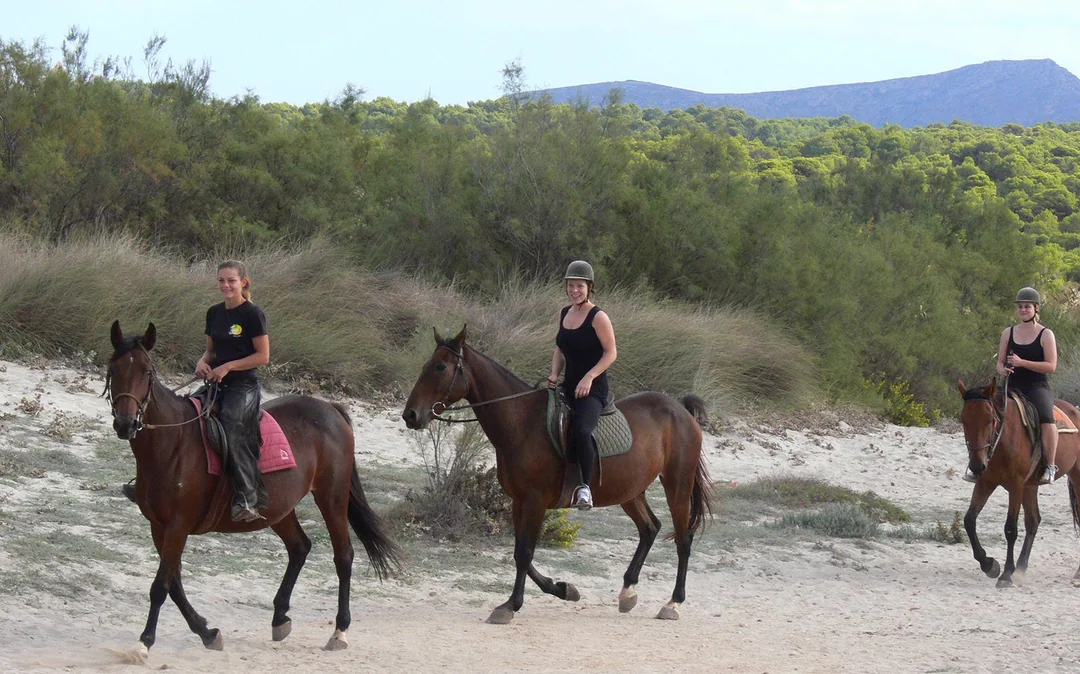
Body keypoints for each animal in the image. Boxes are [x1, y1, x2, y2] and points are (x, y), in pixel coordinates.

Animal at [105, 321, 402, 656]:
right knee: (300, 547)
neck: (173, 443)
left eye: (146, 372)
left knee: (343, 556)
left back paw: (339, 631)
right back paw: (279, 617)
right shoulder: (159, 526)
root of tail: (331, 408)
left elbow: (161, 586)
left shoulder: (178, 525)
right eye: (113, 370)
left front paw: (144, 642)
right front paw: (207, 632)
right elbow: (175, 585)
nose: (125, 424)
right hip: (277, 507)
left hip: (332, 496)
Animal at [402, 327, 713, 623]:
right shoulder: (519, 501)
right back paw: (628, 592)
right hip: (630, 491)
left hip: (677, 485)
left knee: (683, 539)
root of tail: (681, 411)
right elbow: (520, 553)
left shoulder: (535, 501)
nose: (410, 415)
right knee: (650, 528)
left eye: (441, 367)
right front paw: (563, 589)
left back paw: (673, 603)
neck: (523, 423)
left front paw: (510, 606)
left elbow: (524, 553)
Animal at [956, 377, 1080, 587]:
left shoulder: (1016, 486)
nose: (976, 465)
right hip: (1031, 486)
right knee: (1033, 521)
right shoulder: (986, 482)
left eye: (989, 420)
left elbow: (1010, 528)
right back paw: (1020, 568)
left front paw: (1006, 574)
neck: (1003, 440)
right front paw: (989, 565)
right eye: (964, 420)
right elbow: (969, 520)